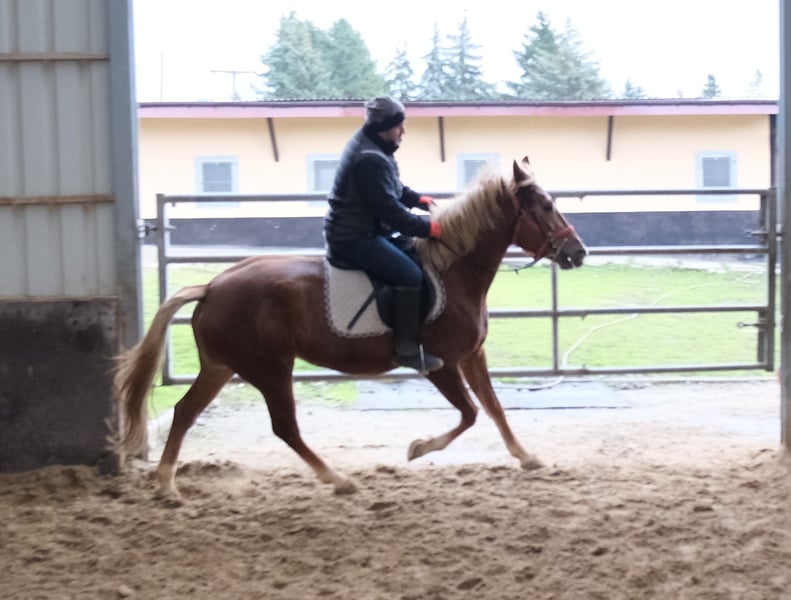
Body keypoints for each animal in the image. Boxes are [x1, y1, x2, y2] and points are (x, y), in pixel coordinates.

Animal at [114, 156, 587, 498]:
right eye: (545, 206)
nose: (578, 252)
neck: (453, 271)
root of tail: (212, 286)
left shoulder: (472, 356)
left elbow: (494, 408)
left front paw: (527, 457)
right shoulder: (442, 364)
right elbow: (470, 413)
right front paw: (418, 449)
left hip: (222, 366)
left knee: (185, 412)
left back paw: (168, 485)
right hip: (270, 369)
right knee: (284, 427)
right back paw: (338, 480)